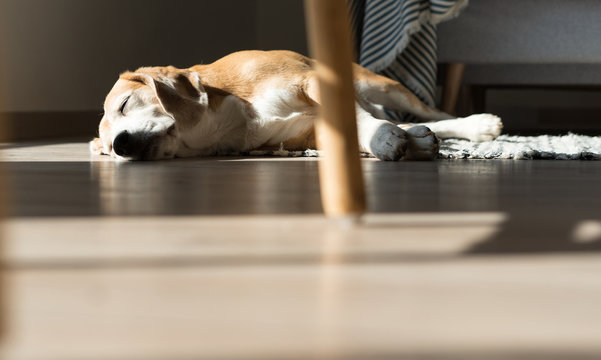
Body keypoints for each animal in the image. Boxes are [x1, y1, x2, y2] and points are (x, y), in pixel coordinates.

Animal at [90, 48, 502, 160]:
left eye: (124, 104)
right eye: (108, 150)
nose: (121, 144)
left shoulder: (313, 81)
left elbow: (364, 123)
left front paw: (383, 140)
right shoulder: (310, 133)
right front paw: (395, 141)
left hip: (383, 87)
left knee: (437, 114)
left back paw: (478, 124)